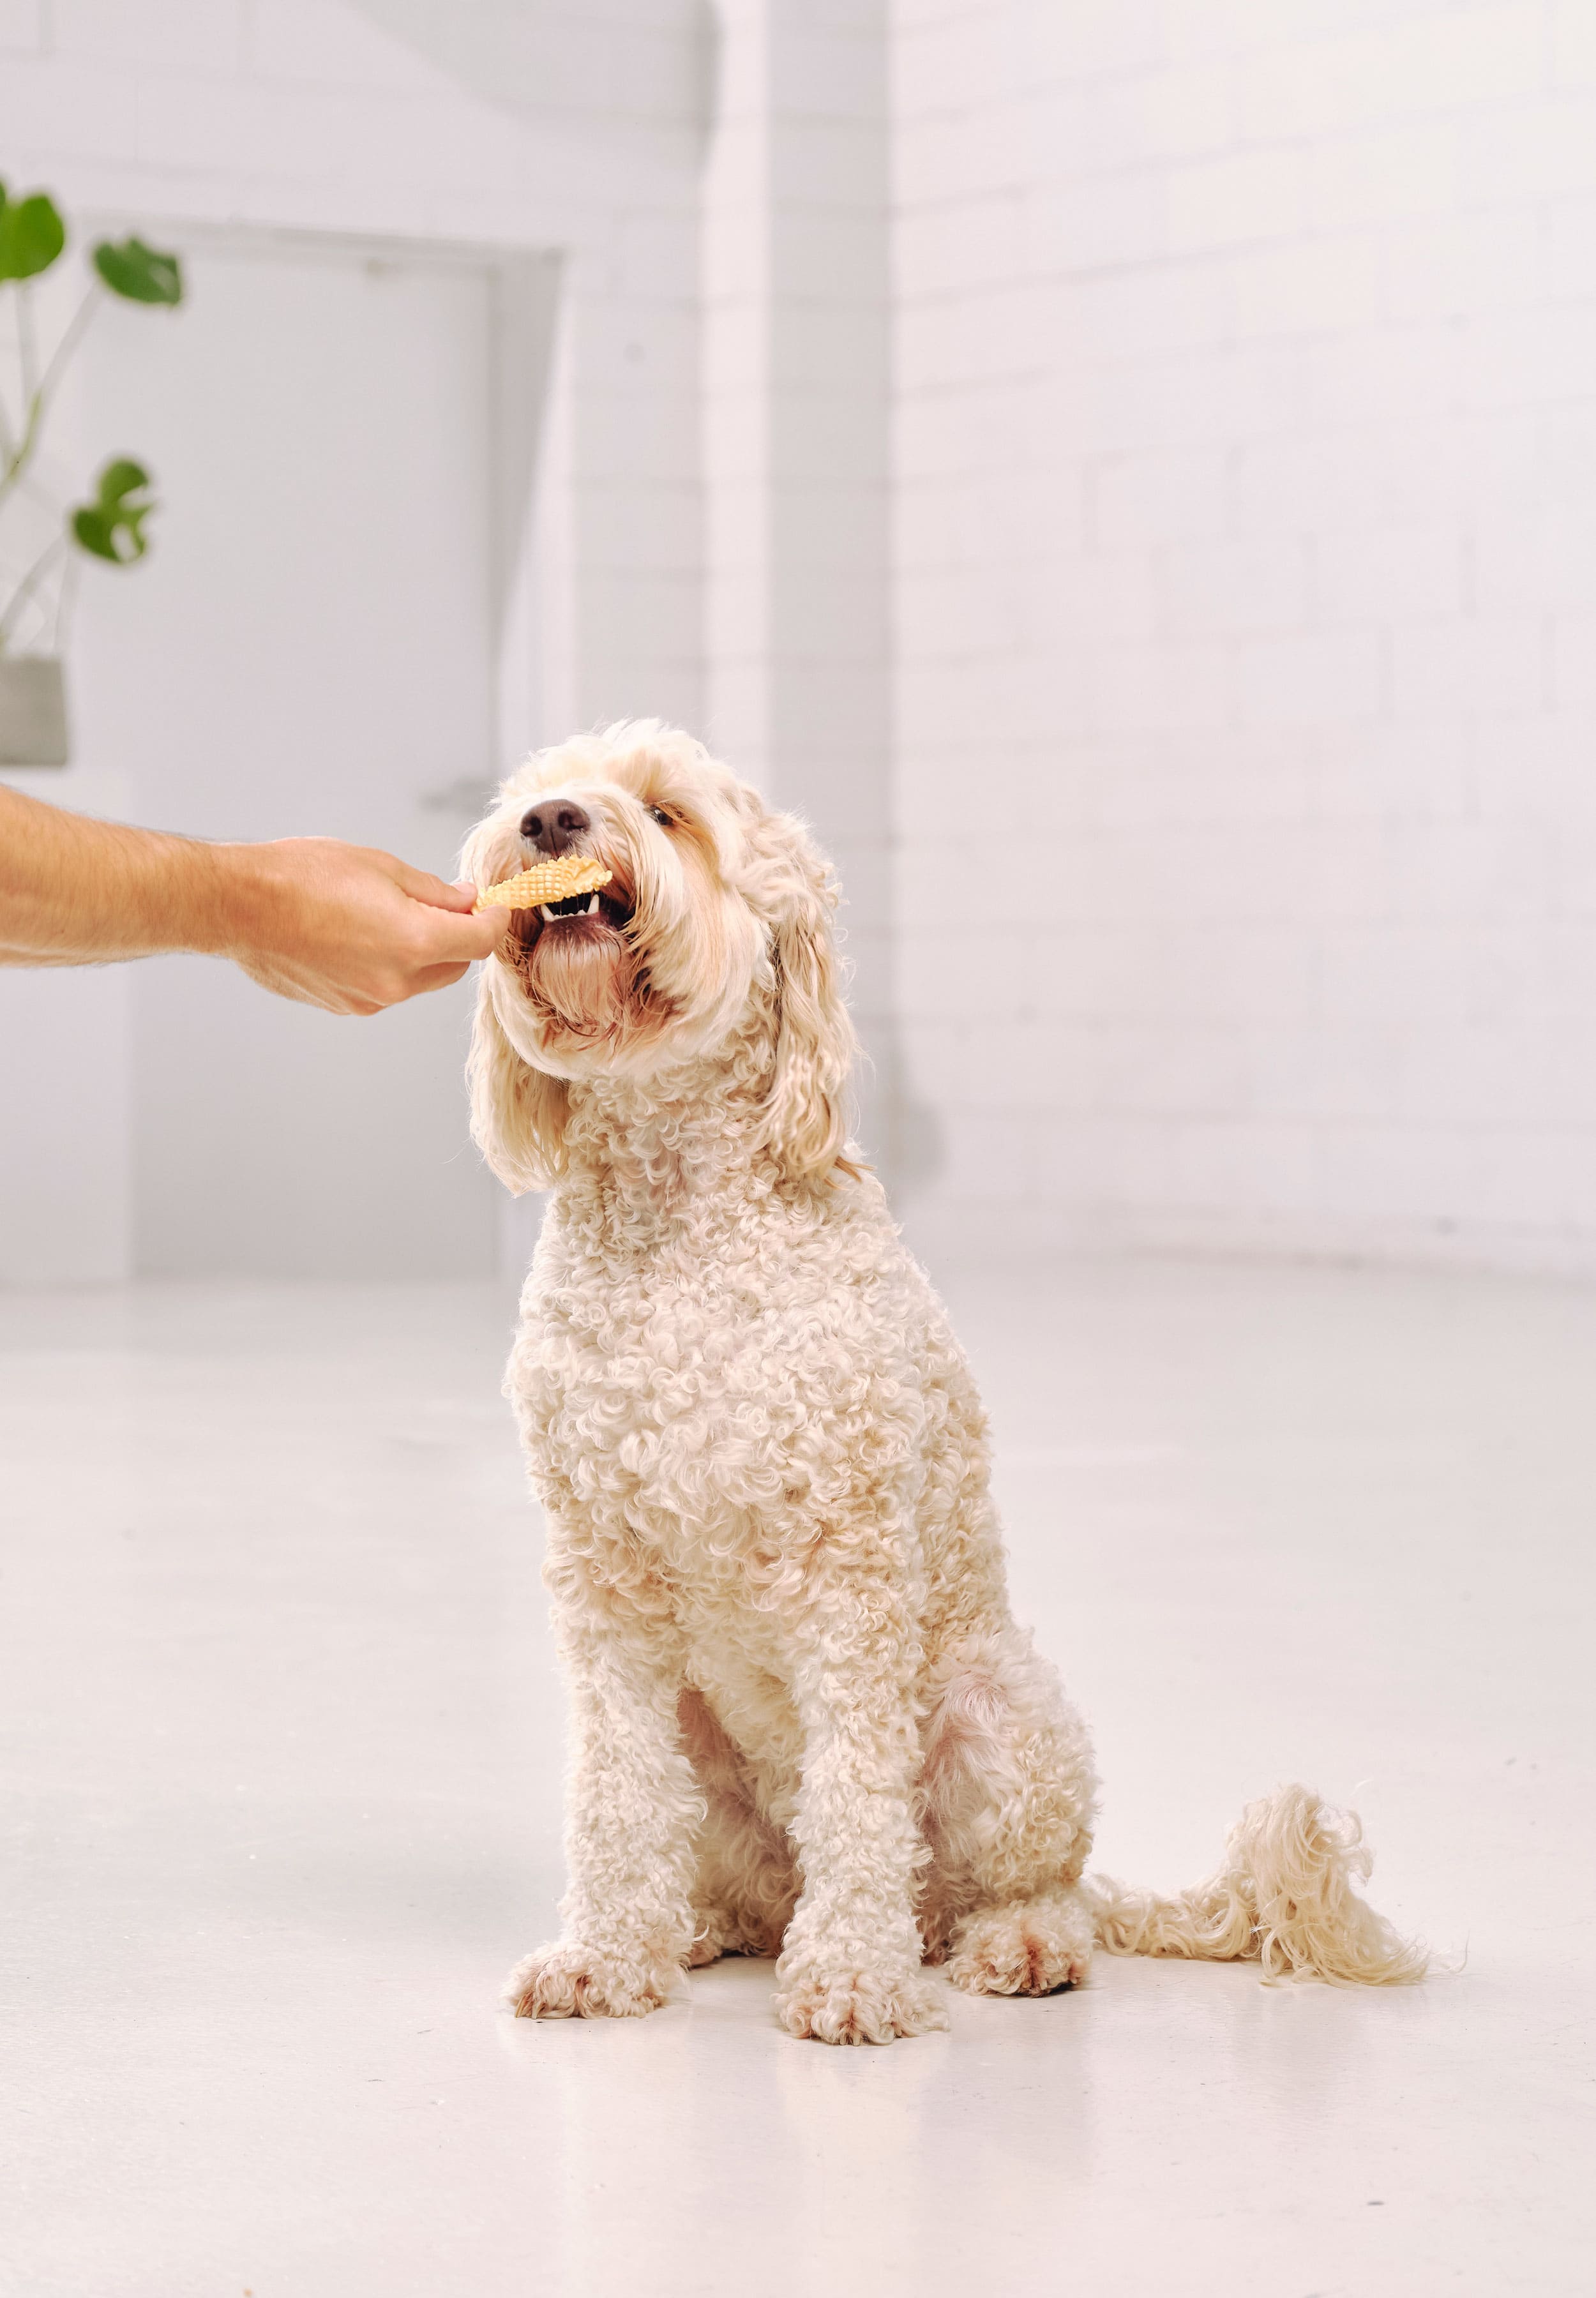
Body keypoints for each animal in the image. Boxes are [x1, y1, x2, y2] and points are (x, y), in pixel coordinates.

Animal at [462, 721, 1426, 2050]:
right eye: (538, 794)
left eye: (665, 814)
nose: (551, 822)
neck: (683, 1223)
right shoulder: (605, 1581)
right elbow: (614, 1792)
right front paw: (605, 1958)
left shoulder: (852, 1572)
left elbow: (859, 1792)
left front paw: (852, 1980)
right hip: (707, 1745)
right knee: (734, 1872)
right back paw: (695, 1929)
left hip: (1000, 1717)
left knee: (1020, 1885)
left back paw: (1009, 1942)